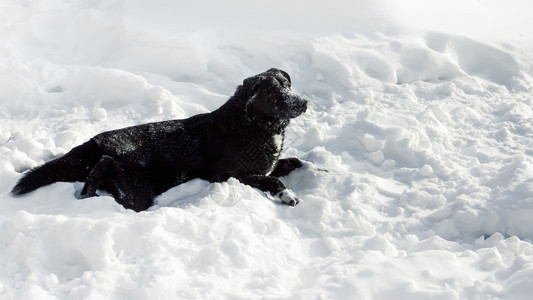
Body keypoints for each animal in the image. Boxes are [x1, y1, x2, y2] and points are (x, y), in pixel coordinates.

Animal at [11, 69, 308, 212]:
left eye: (288, 85)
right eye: (275, 94)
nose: (304, 102)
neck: (252, 123)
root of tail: (96, 142)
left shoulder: (268, 165)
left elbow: (294, 161)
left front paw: (315, 169)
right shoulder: (228, 175)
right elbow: (270, 181)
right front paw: (288, 195)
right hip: (137, 190)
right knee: (106, 170)